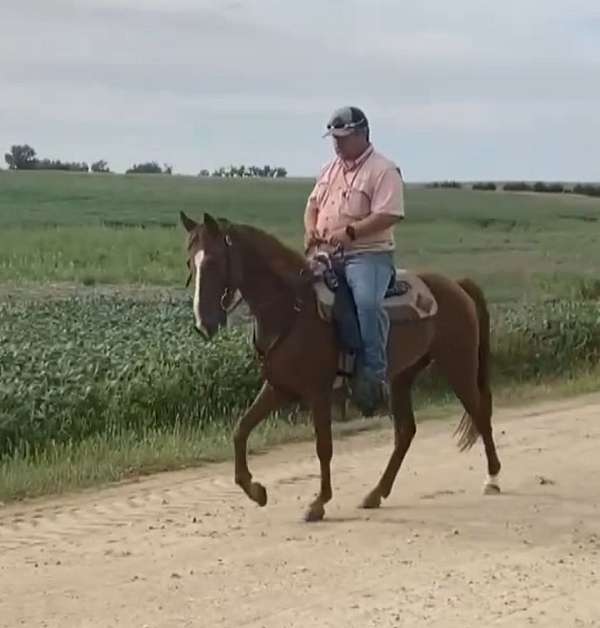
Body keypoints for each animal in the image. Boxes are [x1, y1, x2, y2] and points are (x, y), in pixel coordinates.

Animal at [179, 213, 502, 524]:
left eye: (213, 261)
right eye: (190, 262)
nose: (203, 323)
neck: (293, 309)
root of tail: (457, 285)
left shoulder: (318, 391)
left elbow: (323, 445)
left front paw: (318, 503)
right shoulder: (278, 387)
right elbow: (241, 430)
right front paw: (256, 491)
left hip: (458, 365)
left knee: (479, 413)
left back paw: (493, 479)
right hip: (402, 376)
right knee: (405, 432)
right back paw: (376, 493)